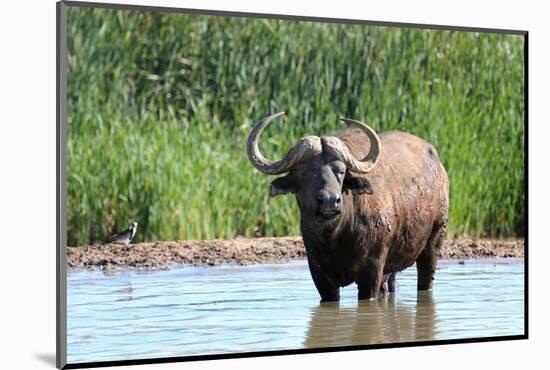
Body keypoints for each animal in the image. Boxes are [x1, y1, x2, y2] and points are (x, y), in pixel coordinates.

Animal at [248, 111, 450, 302]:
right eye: (304, 173)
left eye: (341, 170)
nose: (329, 200)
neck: (336, 235)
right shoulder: (320, 276)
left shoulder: (372, 271)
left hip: (435, 237)